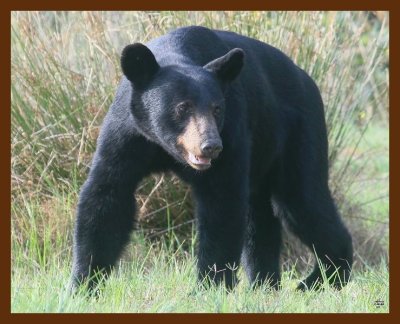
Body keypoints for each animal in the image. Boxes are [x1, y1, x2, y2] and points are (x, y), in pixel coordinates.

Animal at [72, 25, 354, 292]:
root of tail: (307, 79)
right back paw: (264, 284)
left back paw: (320, 279)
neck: (164, 144)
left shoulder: (233, 129)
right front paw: (83, 284)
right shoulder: (128, 134)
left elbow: (222, 202)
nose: (211, 147)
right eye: (182, 107)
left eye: (217, 109)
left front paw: (208, 287)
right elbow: (108, 196)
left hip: (298, 132)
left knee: (302, 200)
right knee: (260, 217)